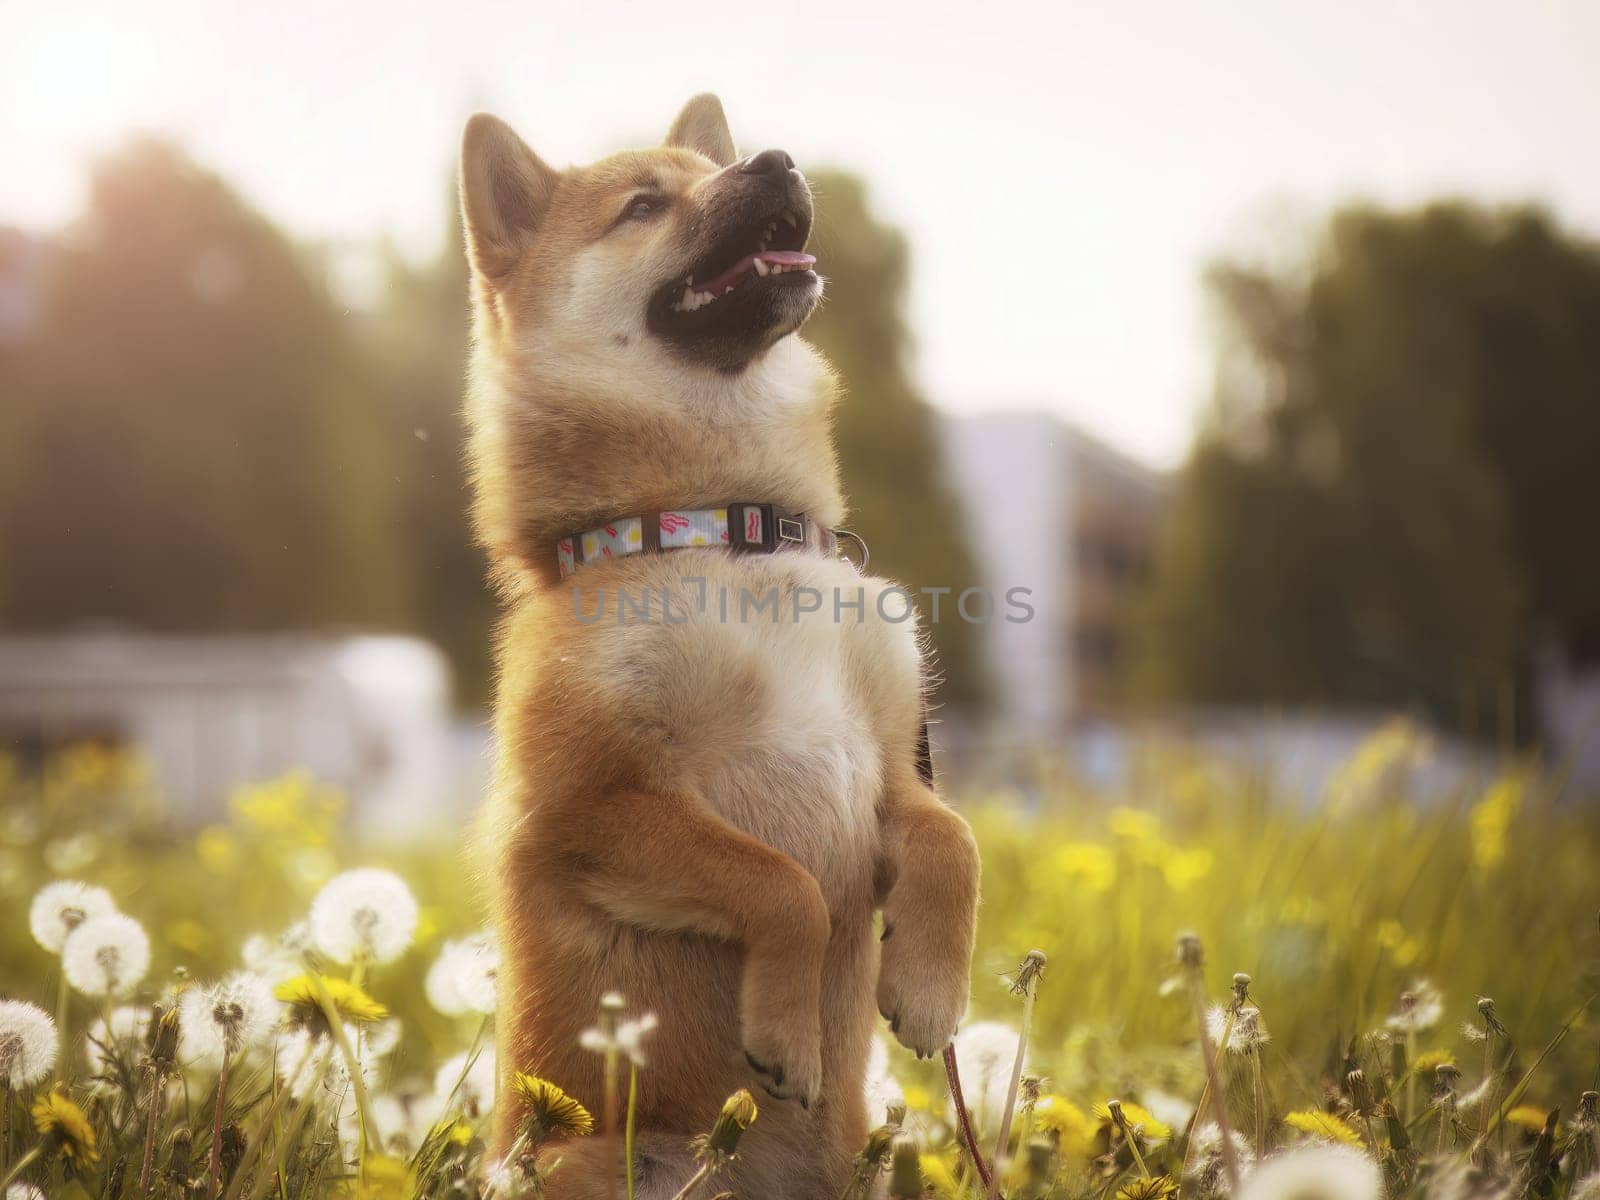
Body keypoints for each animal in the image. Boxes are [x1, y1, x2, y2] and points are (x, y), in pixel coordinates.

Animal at [457, 96, 979, 1200]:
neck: (727, 528)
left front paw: (929, 987)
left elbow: (952, 841)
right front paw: (784, 1030)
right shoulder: (593, 808)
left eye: (713, 170)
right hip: (581, 1159)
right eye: (645, 205)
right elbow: (783, 889)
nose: (778, 159)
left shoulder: (888, 772)